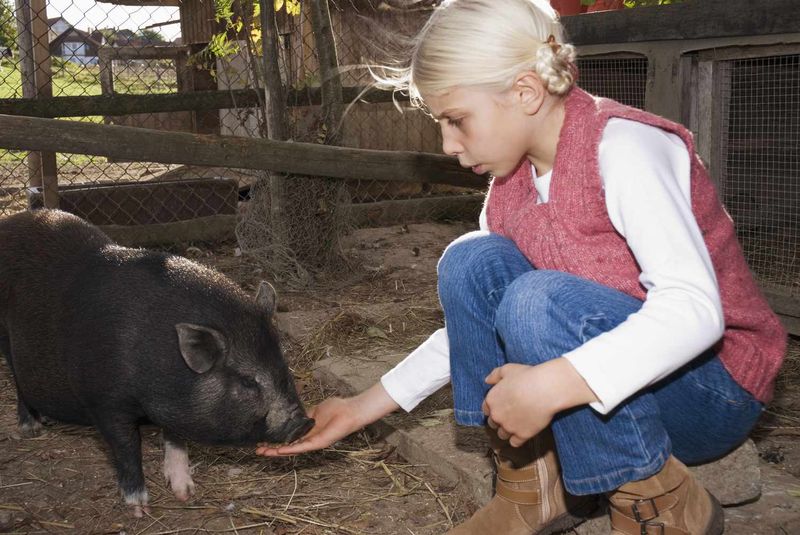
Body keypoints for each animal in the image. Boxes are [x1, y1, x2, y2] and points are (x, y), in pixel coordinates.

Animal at [0, 208, 312, 516]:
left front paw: (186, 493)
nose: (304, 423)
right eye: (247, 381)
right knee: (17, 379)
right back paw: (31, 428)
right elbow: (127, 447)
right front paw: (139, 508)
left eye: (282, 364)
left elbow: (175, 438)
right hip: (7, 342)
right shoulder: (105, 402)